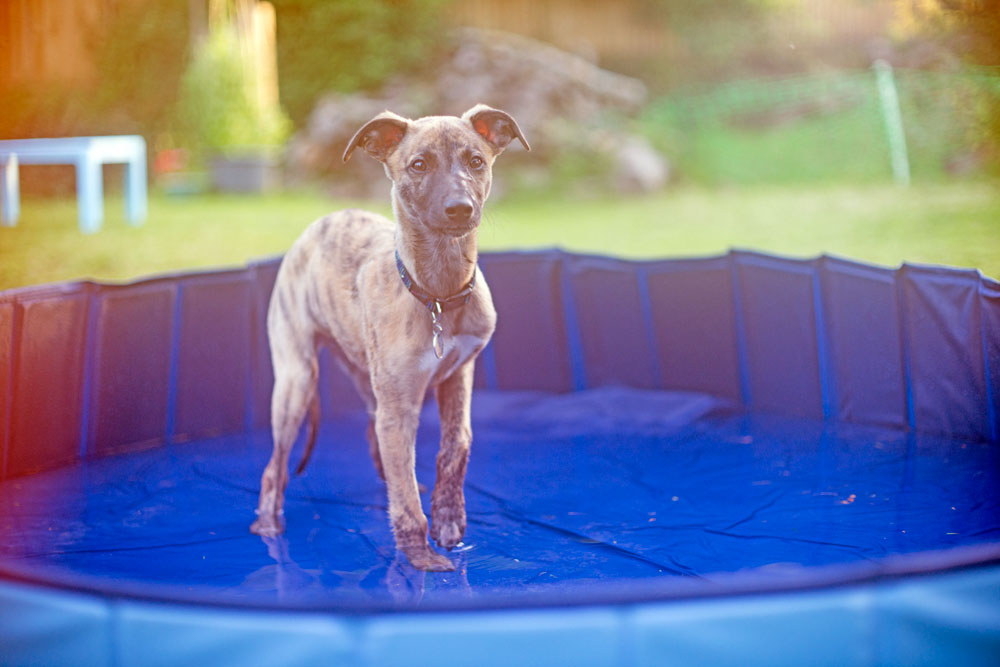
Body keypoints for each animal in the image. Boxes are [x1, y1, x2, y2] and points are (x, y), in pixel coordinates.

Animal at [250, 105, 532, 576]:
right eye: (418, 165)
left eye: (476, 161)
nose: (460, 209)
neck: (437, 295)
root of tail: (322, 221)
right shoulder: (399, 407)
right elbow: (405, 496)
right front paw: (420, 555)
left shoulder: (459, 374)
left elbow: (456, 446)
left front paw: (449, 518)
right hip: (296, 380)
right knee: (276, 466)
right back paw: (269, 527)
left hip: (367, 378)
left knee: (374, 439)